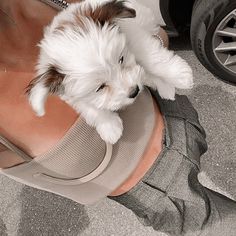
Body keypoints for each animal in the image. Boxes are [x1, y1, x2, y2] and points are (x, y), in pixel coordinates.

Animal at [27, 0, 194, 144]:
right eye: (100, 87)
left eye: (121, 59)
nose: (134, 91)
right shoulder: (69, 94)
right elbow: (88, 106)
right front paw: (109, 125)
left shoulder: (134, 37)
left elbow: (153, 58)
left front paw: (180, 74)